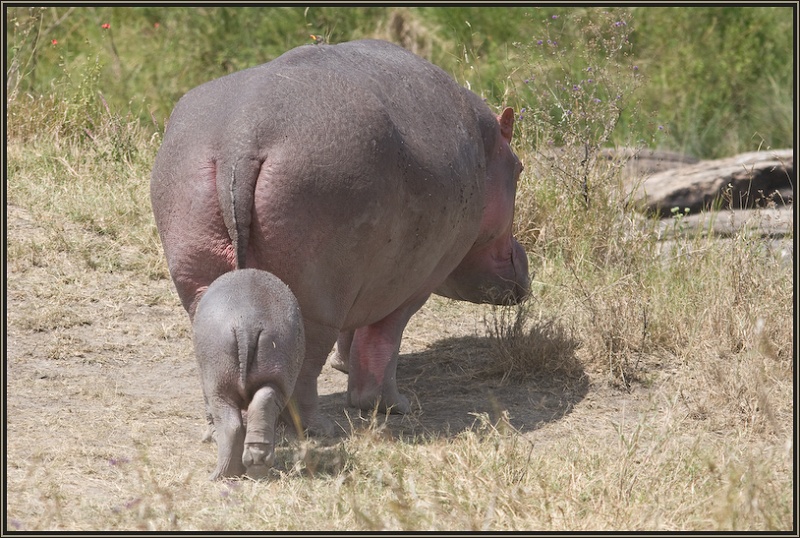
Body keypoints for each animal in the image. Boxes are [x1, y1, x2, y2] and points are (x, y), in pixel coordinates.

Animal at [151, 37, 532, 434]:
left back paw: (218, 423)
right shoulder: (416, 283)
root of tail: (240, 141)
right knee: (305, 363)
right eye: (519, 168)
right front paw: (392, 406)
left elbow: (357, 334)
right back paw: (318, 427)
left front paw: (345, 366)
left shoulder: (370, 278)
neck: (487, 146)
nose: (523, 264)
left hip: (197, 258)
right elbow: (382, 341)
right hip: (318, 294)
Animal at [192, 268, 304, 478]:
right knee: (263, 404)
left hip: (218, 385)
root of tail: (247, 326)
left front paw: (208, 436)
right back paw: (256, 468)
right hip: (277, 378)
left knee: (230, 425)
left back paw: (221, 475)